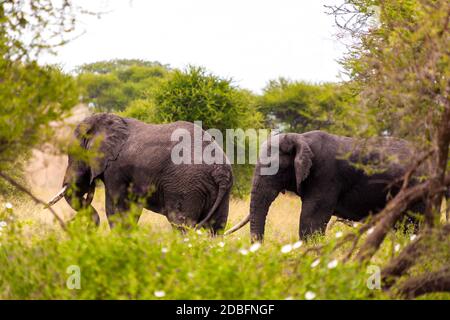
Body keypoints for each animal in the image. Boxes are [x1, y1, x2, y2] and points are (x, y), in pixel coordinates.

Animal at [48, 112, 234, 232]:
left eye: (73, 155)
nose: (71, 224)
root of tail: (221, 171)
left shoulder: (116, 169)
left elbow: (116, 207)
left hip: (186, 185)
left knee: (181, 224)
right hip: (220, 192)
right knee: (216, 228)